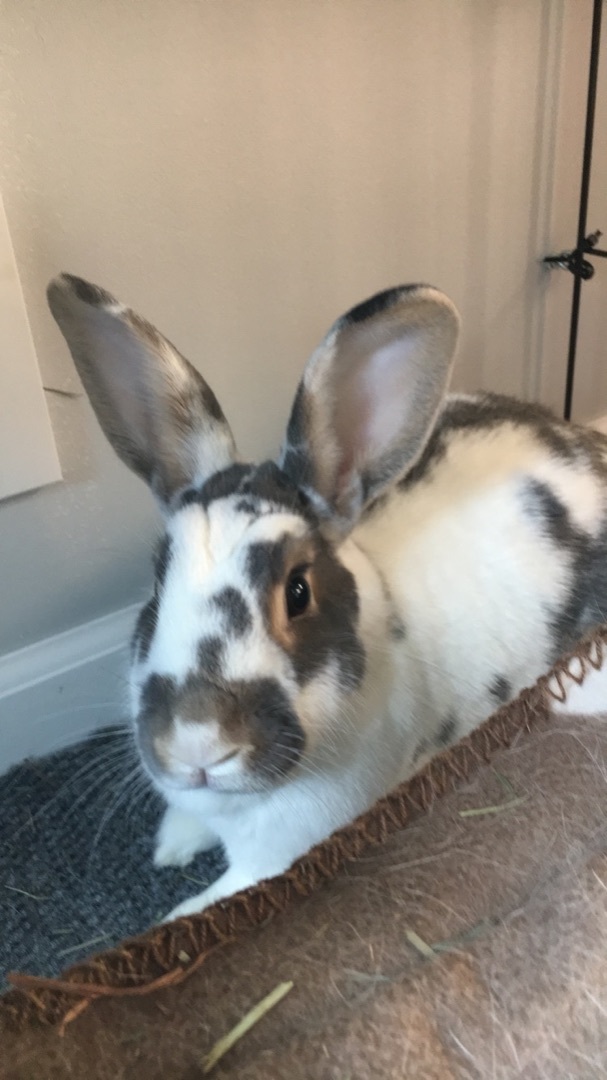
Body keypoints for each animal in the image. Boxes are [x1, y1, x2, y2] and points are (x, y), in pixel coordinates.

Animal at [47, 273, 607, 922]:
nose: (197, 742)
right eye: (158, 583)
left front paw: (177, 905)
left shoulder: (277, 860)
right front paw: (171, 845)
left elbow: (208, 904)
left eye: (298, 591)